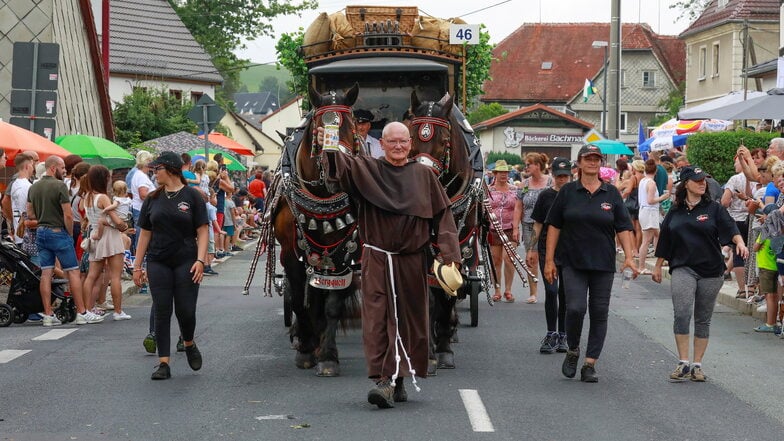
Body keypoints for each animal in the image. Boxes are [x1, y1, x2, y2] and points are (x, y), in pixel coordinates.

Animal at [272, 84, 362, 376]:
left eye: (352, 127)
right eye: (318, 130)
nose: (336, 168)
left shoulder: (346, 254)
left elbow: (332, 304)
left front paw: (328, 355)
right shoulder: (291, 254)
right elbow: (298, 299)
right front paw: (305, 348)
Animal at [408, 91, 486, 372]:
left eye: (443, 142)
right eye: (410, 136)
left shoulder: (460, 242)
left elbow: (448, 291)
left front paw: (443, 348)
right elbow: (430, 293)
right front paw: (429, 350)